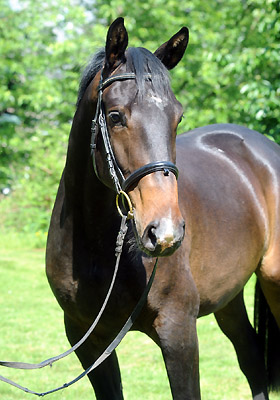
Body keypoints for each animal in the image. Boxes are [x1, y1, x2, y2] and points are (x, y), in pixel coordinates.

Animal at [46, 18, 280, 400]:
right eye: (115, 116)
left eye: (178, 117)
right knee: (251, 357)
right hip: (229, 296)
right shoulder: (87, 340)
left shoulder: (178, 331)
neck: (99, 247)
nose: (165, 232)